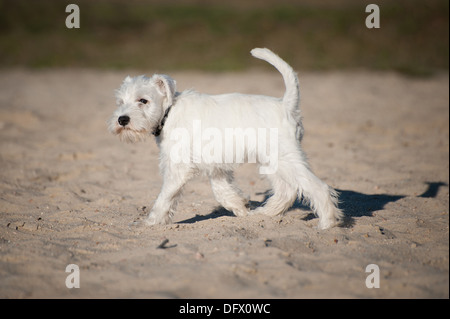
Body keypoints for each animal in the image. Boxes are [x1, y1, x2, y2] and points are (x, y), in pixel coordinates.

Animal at [109, 47, 342, 230]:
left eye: (143, 100)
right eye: (120, 102)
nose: (122, 119)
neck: (169, 112)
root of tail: (285, 104)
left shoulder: (178, 169)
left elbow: (164, 198)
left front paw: (150, 222)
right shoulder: (216, 166)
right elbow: (222, 191)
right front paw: (240, 207)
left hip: (285, 158)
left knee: (317, 187)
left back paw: (327, 223)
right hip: (272, 162)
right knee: (287, 191)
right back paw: (264, 214)